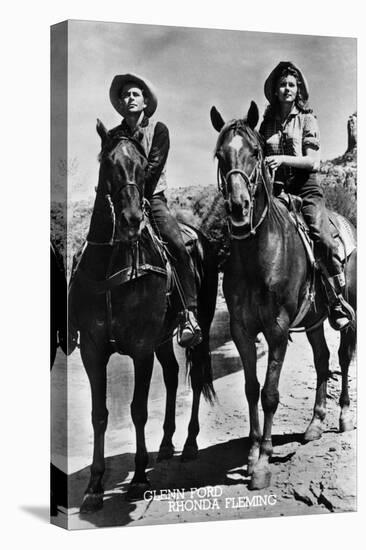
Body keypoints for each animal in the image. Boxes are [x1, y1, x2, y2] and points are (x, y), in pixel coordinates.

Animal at [68, 119, 217, 512]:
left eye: (141, 165)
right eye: (108, 163)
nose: (133, 219)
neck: (112, 265)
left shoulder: (139, 348)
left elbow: (137, 409)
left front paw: (137, 479)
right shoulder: (93, 350)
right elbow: (99, 414)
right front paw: (94, 486)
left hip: (199, 327)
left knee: (196, 377)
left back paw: (190, 444)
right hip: (162, 340)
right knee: (173, 375)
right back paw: (164, 444)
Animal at [210, 102, 356, 492]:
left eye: (256, 152)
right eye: (220, 155)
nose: (239, 206)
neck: (259, 255)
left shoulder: (276, 331)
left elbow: (270, 394)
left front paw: (262, 462)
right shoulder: (241, 331)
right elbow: (251, 388)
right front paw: (250, 454)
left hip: (348, 316)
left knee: (344, 356)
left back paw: (343, 416)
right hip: (314, 322)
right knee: (322, 360)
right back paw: (314, 424)